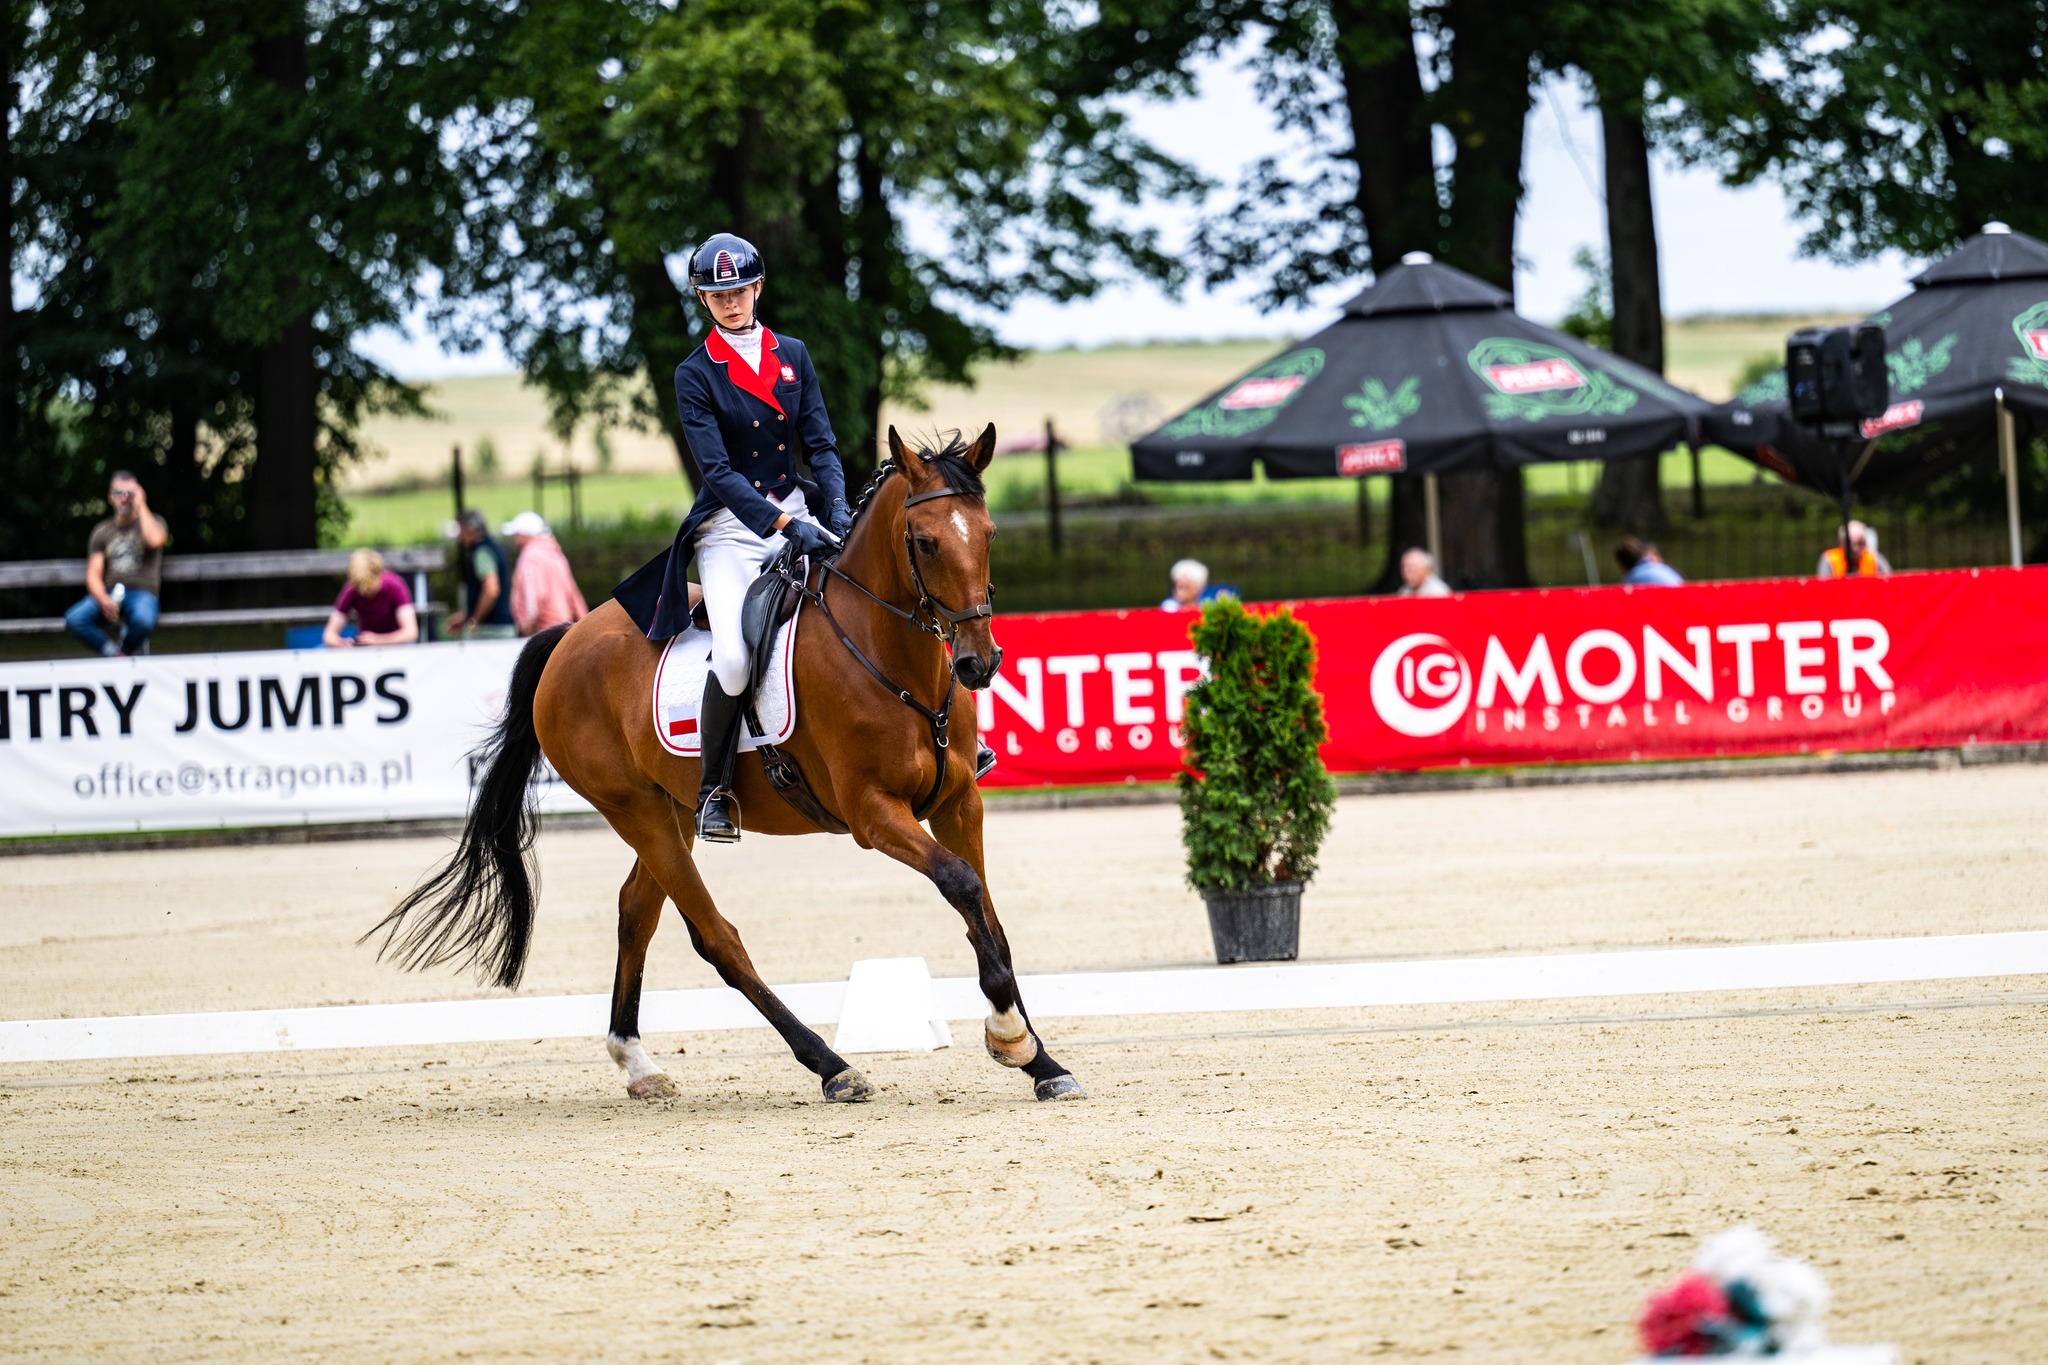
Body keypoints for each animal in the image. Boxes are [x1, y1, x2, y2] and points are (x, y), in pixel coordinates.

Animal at [366, 426, 1084, 1104]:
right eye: (926, 542)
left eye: (988, 534)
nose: (978, 663)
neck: (894, 658)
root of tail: (570, 635)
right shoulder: (873, 813)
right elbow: (961, 883)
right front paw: (1010, 1036)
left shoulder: (960, 800)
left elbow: (987, 912)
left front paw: (1040, 1060)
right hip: (636, 809)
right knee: (714, 936)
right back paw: (831, 1066)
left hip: (672, 810)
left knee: (636, 910)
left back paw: (637, 1062)